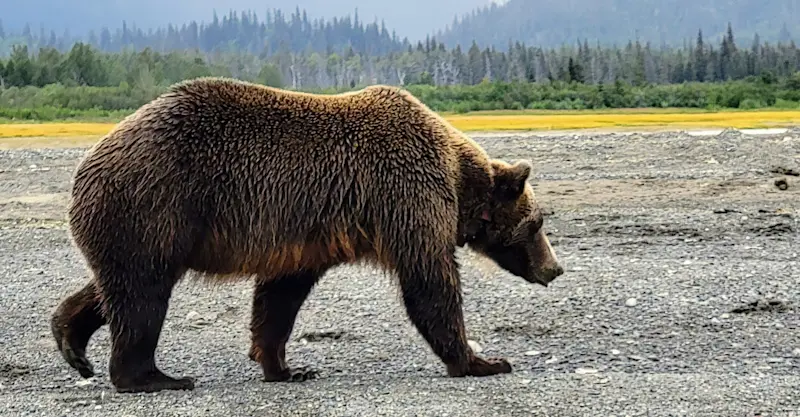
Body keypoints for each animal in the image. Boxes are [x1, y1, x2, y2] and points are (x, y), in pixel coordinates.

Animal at [50, 76, 565, 394]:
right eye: (538, 222)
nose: (555, 268)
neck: (459, 182)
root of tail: (89, 161)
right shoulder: (406, 194)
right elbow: (429, 282)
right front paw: (482, 361)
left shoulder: (307, 234)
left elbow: (280, 297)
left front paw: (285, 367)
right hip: (156, 201)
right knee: (143, 293)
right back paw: (155, 377)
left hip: (144, 220)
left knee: (119, 284)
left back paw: (71, 339)